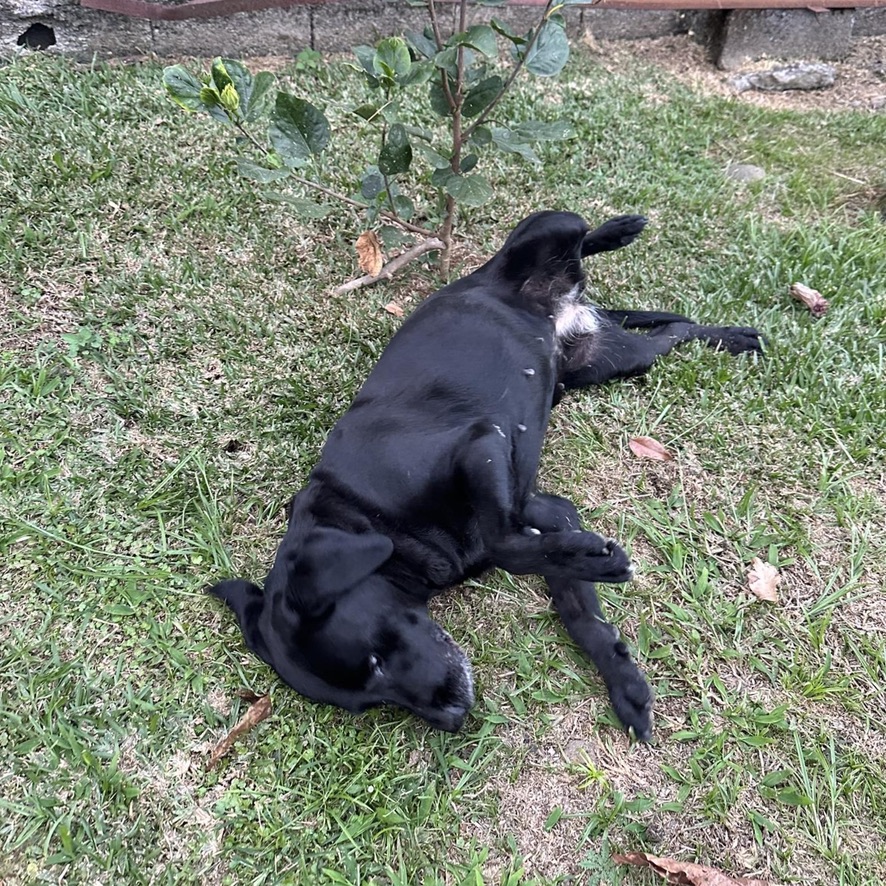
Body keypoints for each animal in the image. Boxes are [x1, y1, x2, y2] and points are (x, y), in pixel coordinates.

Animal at [212, 213, 768, 744]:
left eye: (375, 659)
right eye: (370, 701)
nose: (454, 718)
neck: (363, 514)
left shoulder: (483, 446)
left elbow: (507, 545)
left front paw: (600, 566)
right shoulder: (548, 508)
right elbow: (572, 601)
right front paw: (622, 677)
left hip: (548, 231)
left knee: (575, 235)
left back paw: (620, 231)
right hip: (616, 361)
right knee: (671, 333)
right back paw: (728, 336)